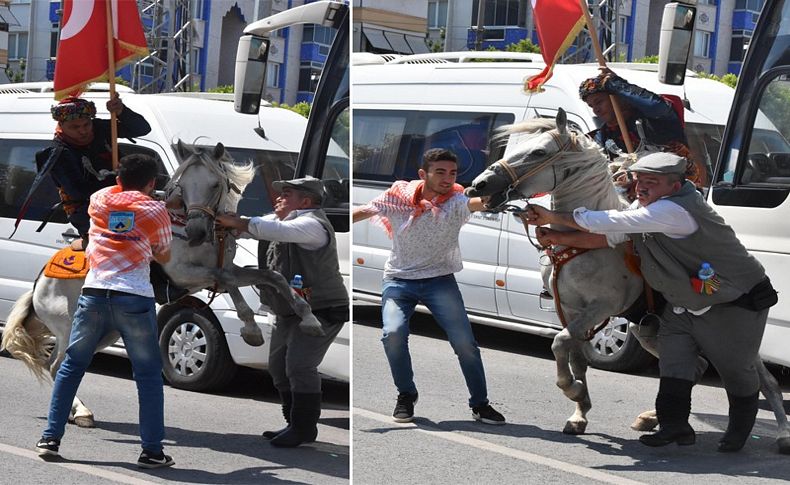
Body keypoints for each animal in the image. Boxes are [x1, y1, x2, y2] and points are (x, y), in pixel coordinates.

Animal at [0, 141, 322, 428]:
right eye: (182, 186)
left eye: (214, 185)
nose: (195, 231)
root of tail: (38, 287)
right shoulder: (184, 273)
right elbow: (227, 281)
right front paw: (252, 330)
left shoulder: (225, 268)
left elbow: (269, 277)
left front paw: (310, 320)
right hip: (71, 327)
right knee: (58, 365)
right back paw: (80, 412)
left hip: (106, 331)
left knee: (57, 364)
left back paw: (74, 411)